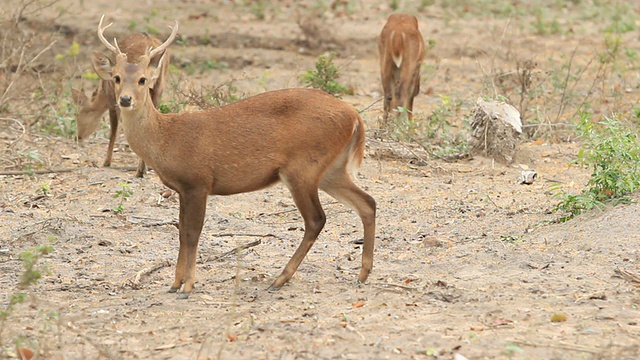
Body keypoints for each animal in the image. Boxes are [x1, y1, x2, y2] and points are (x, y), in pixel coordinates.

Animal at [71, 27, 171, 177]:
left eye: (79, 114)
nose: (78, 136)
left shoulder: (112, 100)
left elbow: (113, 129)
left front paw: (106, 162)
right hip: (160, 87)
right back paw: (142, 169)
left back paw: (139, 170)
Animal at [93, 16, 378, 298]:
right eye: (117, 77)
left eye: (142, 79)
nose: (125, 100)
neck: (166, 139)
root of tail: (354, 115)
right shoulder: (183, 188)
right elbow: (181, 233)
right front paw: (174, 283)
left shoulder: (198, 181)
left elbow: (192, 233)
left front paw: (188, 286)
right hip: (331, 169)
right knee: (367, 202)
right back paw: (362, 274)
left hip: (303, 167)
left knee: (316, 219)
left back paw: (279, 279)